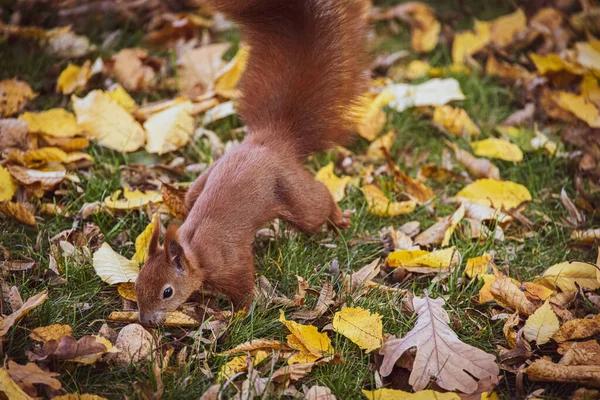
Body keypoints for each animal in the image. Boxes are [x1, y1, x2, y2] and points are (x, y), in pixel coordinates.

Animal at [135, 0, 368, 324]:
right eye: (137, 282)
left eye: (167, 292)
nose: (145, 321)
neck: (195, 251)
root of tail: (271, 138)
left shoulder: (232, 262)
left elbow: (244, 287)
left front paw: (238, 316)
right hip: (204, 181)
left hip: (293, 192)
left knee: (317, 203)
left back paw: (338, 218)